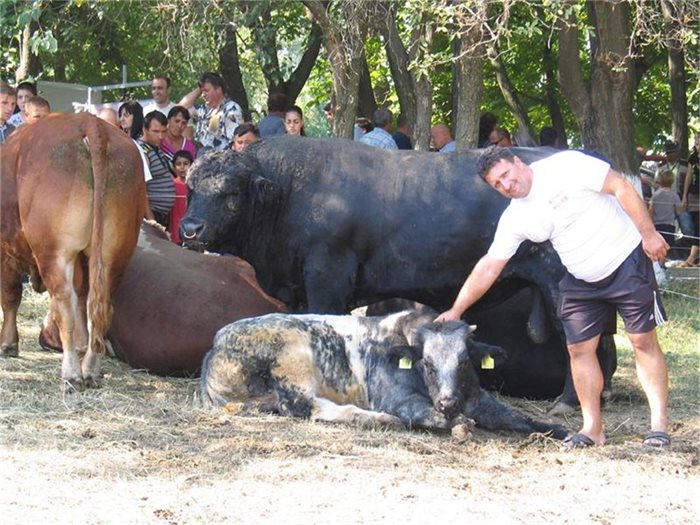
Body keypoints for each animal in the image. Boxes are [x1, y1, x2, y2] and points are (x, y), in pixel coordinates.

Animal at [0, 111, 145, 388]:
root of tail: (91, 123)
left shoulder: (5, 251)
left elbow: (10, 296)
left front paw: (8, 343)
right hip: (115, 253)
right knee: (99, 307)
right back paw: (90, 368)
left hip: (55, 252)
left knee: (64, 307)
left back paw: (71, 374)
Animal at [182, 139, 616, 410]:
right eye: (191, 186)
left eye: (231, 193)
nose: (189, 228)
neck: (290, 193)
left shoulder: (327, 276)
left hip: (563, 288)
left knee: (587, 343)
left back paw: (570, 402)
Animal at [201, 310, 568, 436]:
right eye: (426, 362)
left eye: (464, 361)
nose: (448, 401)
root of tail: (215, 345)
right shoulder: (401, 401)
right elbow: (437, 418)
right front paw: (459, 424)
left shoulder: (480, 400)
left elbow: (521, 419)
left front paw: (561, 431)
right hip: (294, 360)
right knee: (306, 407)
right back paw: (378, 419)